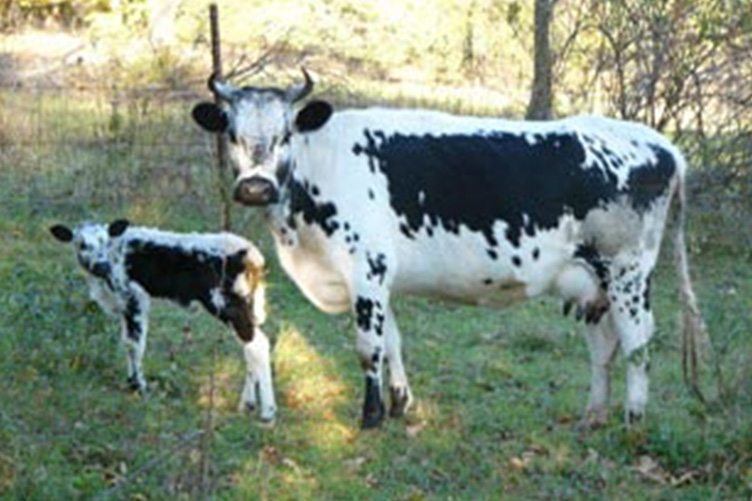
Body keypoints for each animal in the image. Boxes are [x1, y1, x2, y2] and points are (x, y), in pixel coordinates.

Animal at [49, 219, 277, 422]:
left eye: (105, 241)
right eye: (81, 244)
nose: (101, 266)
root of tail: (252, 254)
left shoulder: (135, 299)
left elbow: (134, 344)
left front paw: (138, 387)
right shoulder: (123, 306)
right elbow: (127, 343)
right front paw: (132, 383)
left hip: (229, 306)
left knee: (258, 345)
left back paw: (268, 412)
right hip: (246, 308)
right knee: (249, 348)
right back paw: (247, 404)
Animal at [191, 69, 704, 430]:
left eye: (285, 136)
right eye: (232, 133)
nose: (255, 187)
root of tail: (660, 144)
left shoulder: (366, 269)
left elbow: (369, 348)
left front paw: (371, 416)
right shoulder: (380, 278)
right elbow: (394, 341)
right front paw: (400, 404)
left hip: (627, 272)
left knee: (638, 342)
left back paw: (633, 419)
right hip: (593, 283)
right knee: (603, 347)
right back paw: (593, 417)